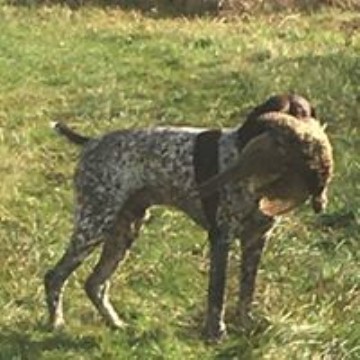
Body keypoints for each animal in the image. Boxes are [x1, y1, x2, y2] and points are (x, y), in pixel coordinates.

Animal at [43, 93, 324, 340]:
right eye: (275, 118)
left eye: (303, 114)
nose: (304, 146)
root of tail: (90, 142)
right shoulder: (221, 237)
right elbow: (217, 293)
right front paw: (215, 333)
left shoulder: (256, 241)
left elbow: (247, 290)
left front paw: (245, 325)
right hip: (95, 224)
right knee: (55, 277)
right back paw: (56, 323)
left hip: (124, 231)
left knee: (95, 284)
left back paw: (116, 324)